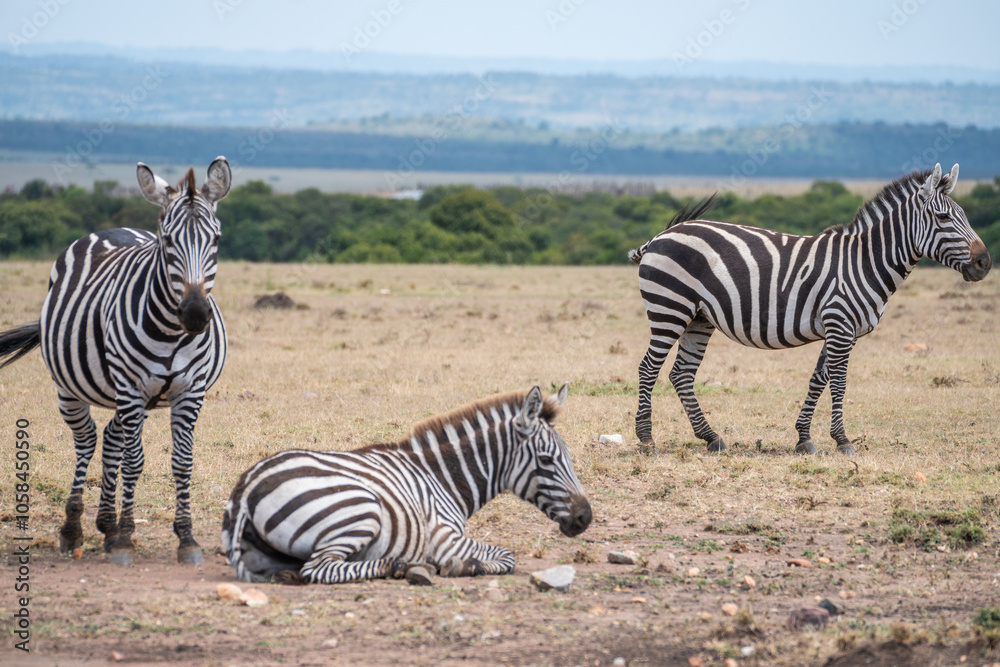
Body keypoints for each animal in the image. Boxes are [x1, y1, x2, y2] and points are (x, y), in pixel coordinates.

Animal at [0, 158, 232, 566]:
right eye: (167, 241)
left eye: (216, 240)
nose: (194, 314)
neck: (171, 333)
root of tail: (111, 230)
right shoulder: (132, 388)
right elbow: (135, 461)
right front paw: (125, 538)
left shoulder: (191, 391)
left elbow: (182, 462)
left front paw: (186, 538)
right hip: (73, 388)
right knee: (88, 440)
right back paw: (74, 529)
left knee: (111, 438)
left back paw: (107, 524)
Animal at [221, 384, 592, 585]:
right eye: (546, 460)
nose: (585, 518)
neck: (442, 478)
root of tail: (246, 486)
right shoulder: (443, 538)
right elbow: (507, 556)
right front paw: (464, 566)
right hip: (361, 509)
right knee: (320, 568)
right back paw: (401, 567)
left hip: (269, 556)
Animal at [628, 163, 992, 456]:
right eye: (943, 217)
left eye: (965, 216)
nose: (984, 263)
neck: (865, 262)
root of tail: (660, 236)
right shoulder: (840, 325)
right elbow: (839, 382)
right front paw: (843, 441)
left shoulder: (841, 330)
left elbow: (818, 379)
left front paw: (804, 438)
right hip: (669, 309)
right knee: (649, 368)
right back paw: (647, 439)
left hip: (699, 318)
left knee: (681, 374)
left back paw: (711, 437)